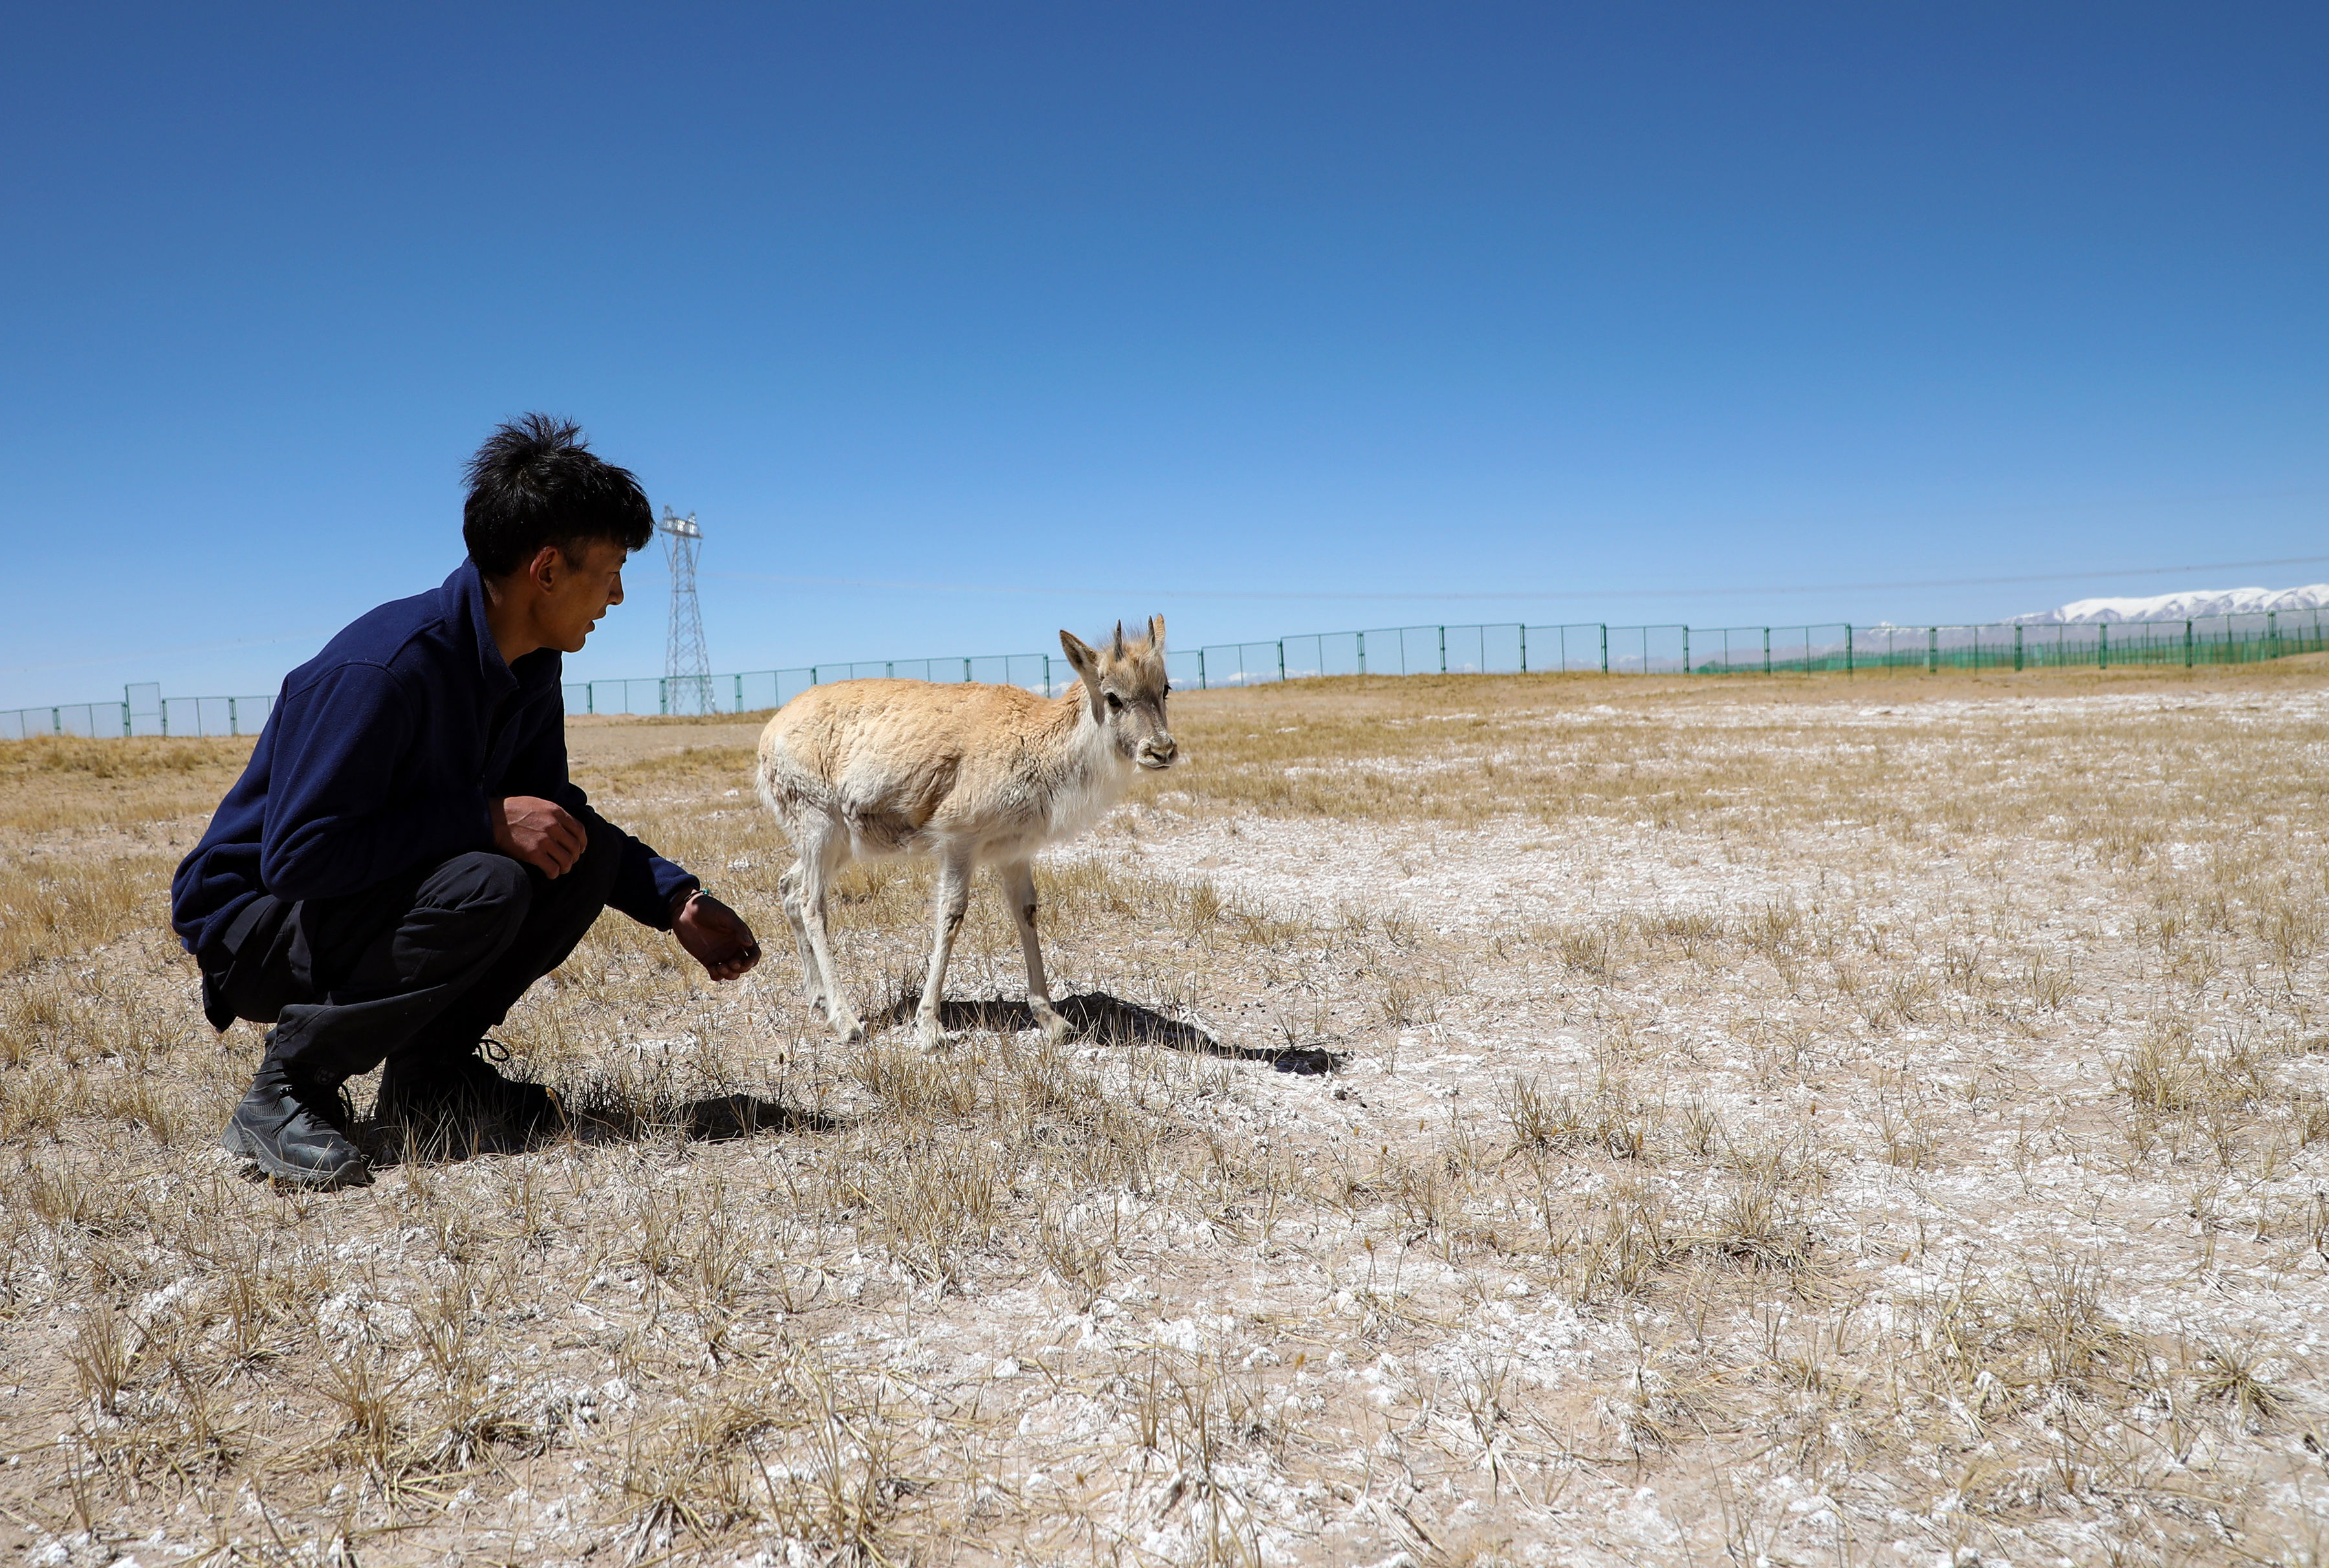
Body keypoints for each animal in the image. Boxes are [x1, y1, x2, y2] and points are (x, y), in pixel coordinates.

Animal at [754, 620, 1174, 1043]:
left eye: (1165, 688)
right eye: (1113, 697)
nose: (1162, 750)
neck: (1037, 745)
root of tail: (769, 734)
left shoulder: (1014, 852)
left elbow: (1027, 912)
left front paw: (1051, 1018)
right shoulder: (958, 841)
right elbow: (951, 913)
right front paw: (930, 1026)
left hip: (840, 844)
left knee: (788, 887)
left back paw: (820, 1001)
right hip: (820, 827)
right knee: (811, 902)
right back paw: (846, 1020)